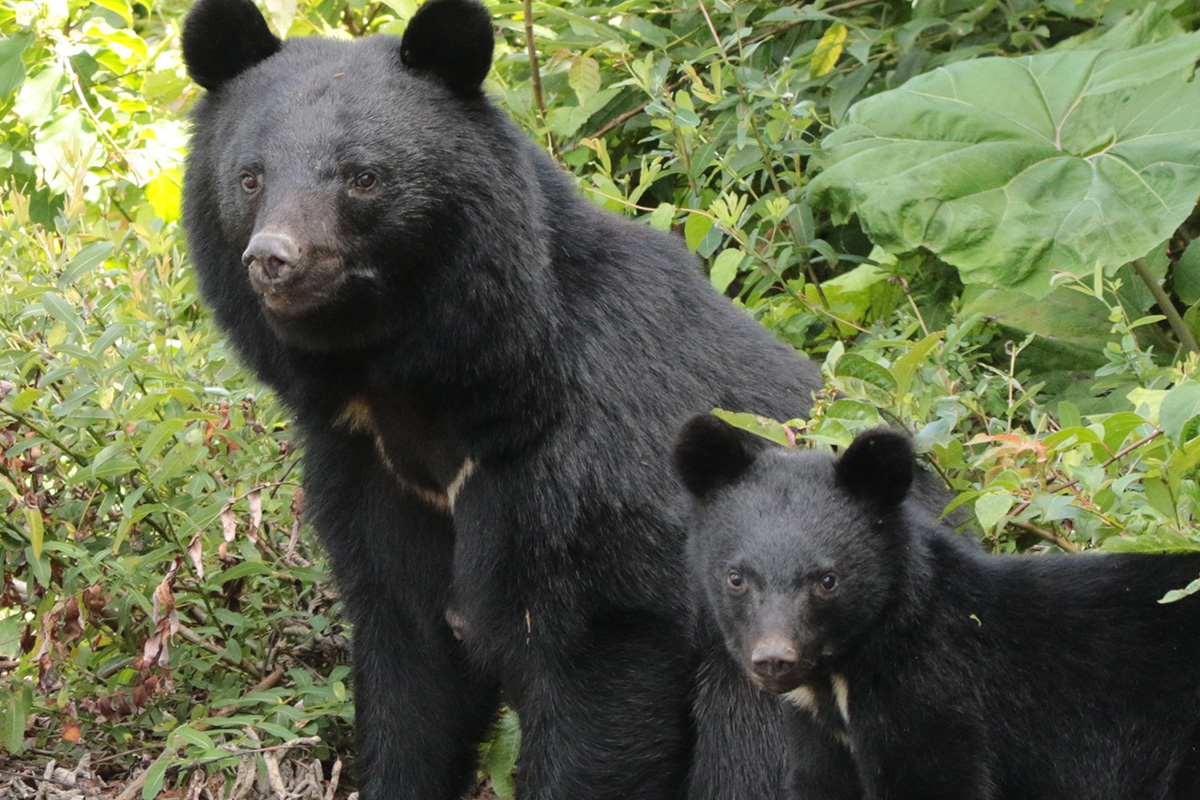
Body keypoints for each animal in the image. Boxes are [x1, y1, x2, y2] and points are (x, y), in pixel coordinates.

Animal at [180, 0, 835, 796]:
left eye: (364, 177)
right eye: (250, 178)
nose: (275, 259)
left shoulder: (595, 478)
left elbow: (601, 679)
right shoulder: (369, 475)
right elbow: (411, 670)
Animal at [672, 417, 1200, 800]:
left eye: (827, 580)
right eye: (736, 577)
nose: (774, 660)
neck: (843, 679)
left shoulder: (937, 701)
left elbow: (938, 780)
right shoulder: (821, 737)